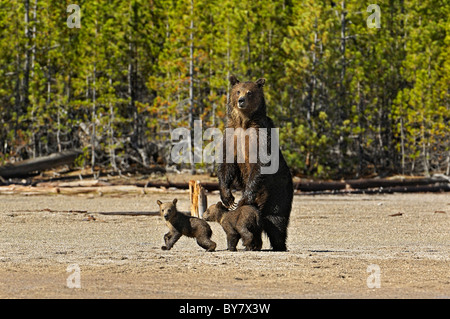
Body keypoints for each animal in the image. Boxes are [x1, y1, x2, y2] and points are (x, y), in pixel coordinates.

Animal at [219, 75, 296, 252]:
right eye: (238, 91)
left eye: (250, 92)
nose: (241, 100)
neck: (244, 123)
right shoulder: (231, 135)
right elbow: (227, 163)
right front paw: (228, 197)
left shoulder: (261, 134)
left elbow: (261, 163)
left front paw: (241, 200)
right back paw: (254, 245)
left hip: (278, 192)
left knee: (276, 221)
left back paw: (279, 246)